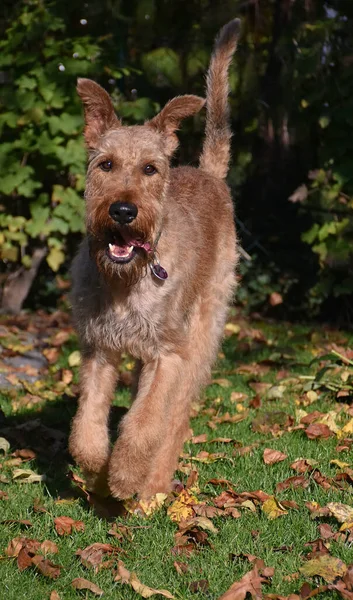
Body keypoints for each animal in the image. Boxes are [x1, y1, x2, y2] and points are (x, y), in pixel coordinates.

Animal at [69, 18, 239, 500]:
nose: (124, 211)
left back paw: (154, 488)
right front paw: (100, 475)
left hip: (201, 338)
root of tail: (209, 174)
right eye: (105, 164)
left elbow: (144, 425)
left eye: (150, 168)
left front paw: (125, 477)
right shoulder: (99, 349)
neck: (126, 280)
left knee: (175, 421)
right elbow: (85, 432)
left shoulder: (168, 355)